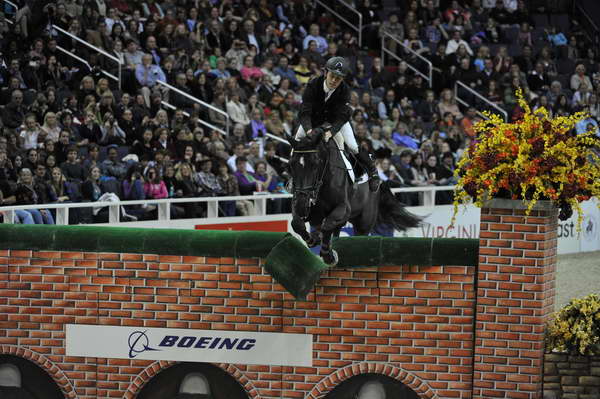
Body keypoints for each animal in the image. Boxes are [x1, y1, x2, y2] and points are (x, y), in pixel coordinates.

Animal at [288, 130, 420, 264]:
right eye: (291, 165)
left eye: (315, 164)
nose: (302, 204)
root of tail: (381, 183)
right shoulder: (305, 208)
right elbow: (297, 223)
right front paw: (313, 240)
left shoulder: (344, 209)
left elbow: (327, 225)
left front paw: (328, 254)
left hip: (363, 224)